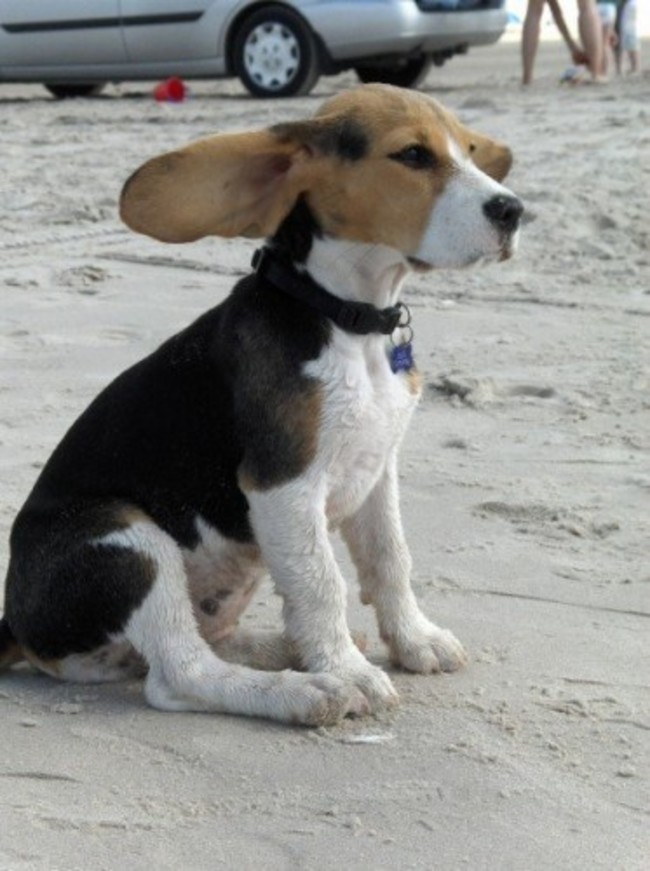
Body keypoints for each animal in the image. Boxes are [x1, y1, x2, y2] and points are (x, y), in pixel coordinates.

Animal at [0, 85, 520, 724]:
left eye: (469, 150)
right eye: (414, 155)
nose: (514, 211)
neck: (347, 320)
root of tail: (15, 624)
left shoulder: (378, 470)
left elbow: (390, 558)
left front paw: (414, 639)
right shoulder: (283, 484)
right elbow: (322, 582)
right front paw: (346, 669)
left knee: (203, 644)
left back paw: (287, 651)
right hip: (125, 539)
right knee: (180, 675)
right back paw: (305, 690)